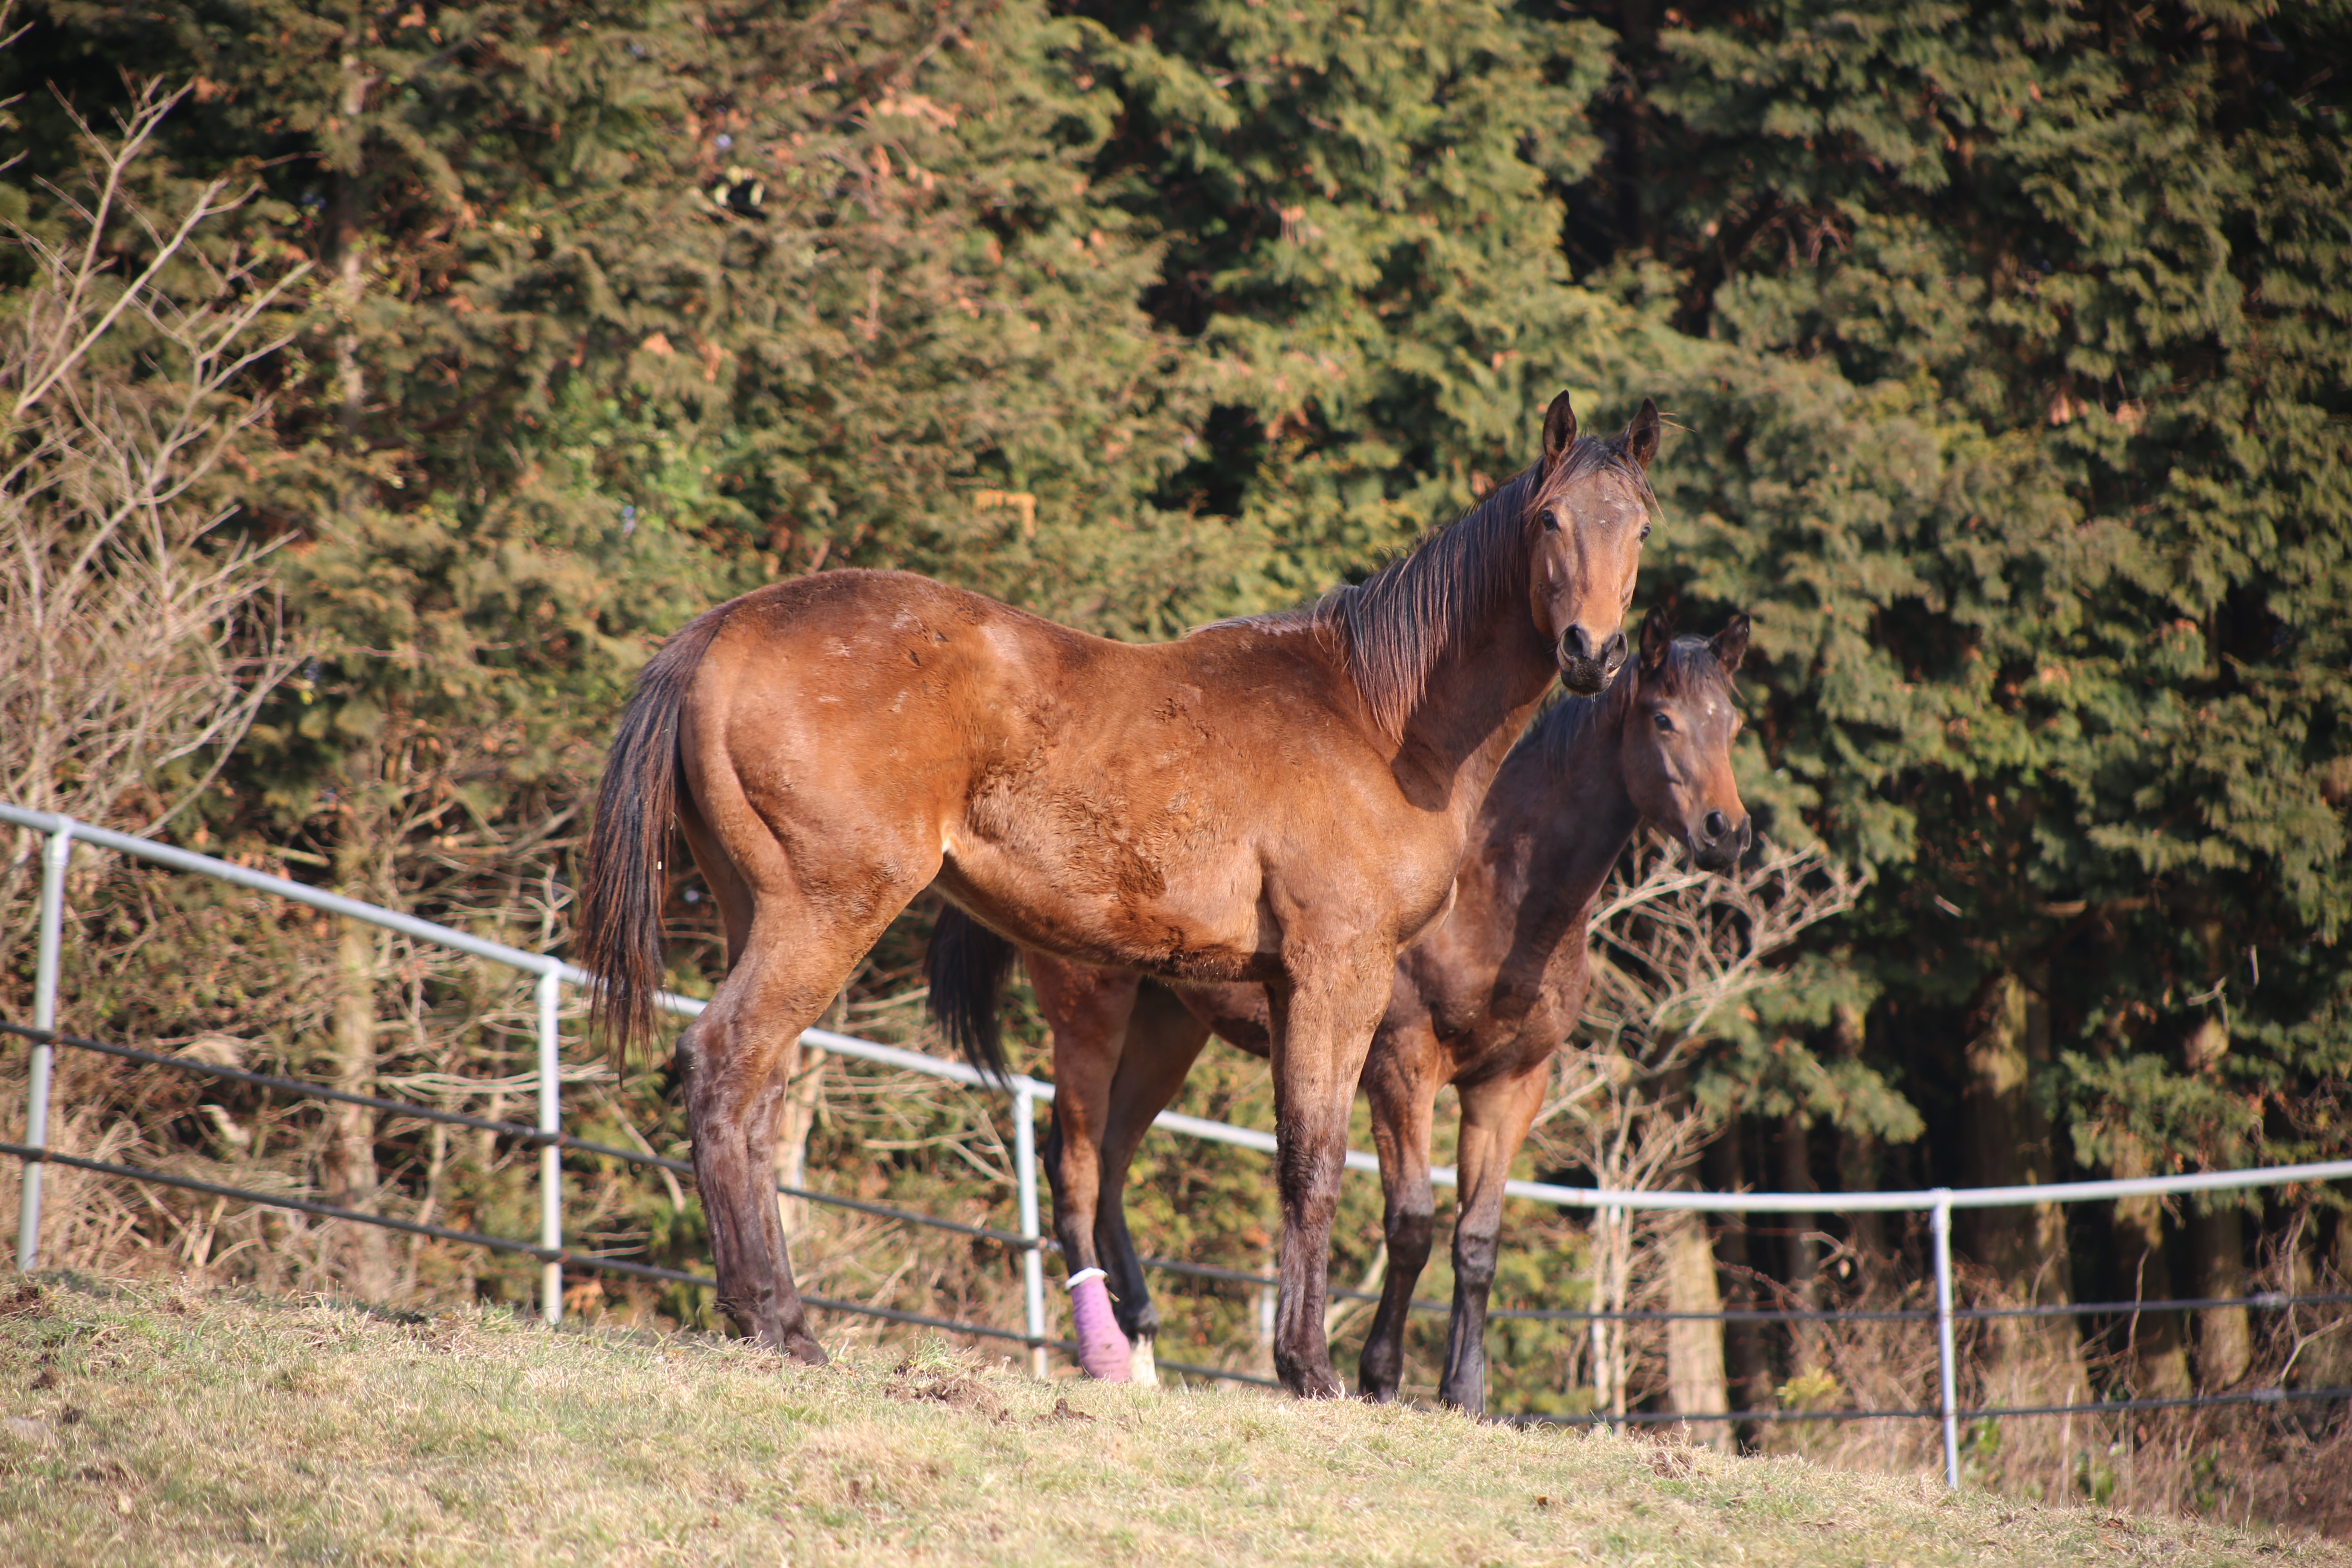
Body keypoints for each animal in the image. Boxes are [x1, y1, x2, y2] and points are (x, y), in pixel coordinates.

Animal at [578, 392, 1665, 1401]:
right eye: (1550, 519)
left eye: (1641, 526)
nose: (1592, 650)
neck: (1376, 715)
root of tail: (727, 628)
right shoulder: (1340, 978)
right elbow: (1315, 1166)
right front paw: (1311, 1369)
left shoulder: (1290, 988)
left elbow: (1299, 1161)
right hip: (831, 914)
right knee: (725, 1063)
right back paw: (775, 1322)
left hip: (763, 914)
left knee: (757, 1096)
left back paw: (776, 1318)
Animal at [931, 606, 1750, 1401]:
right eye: (1664, 720)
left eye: (1733, 722)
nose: (1727, 832)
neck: (1501, 893)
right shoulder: (1402, 1067)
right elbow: (1412, 1223)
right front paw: (1380, 1377)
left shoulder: (1512, 1085)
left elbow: (1477, 1242)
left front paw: (1464, 1396)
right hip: (1092, 1013)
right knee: (1076, 1163)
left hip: (1166, 1034)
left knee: (1110, 1161)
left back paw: (1141, 1344)